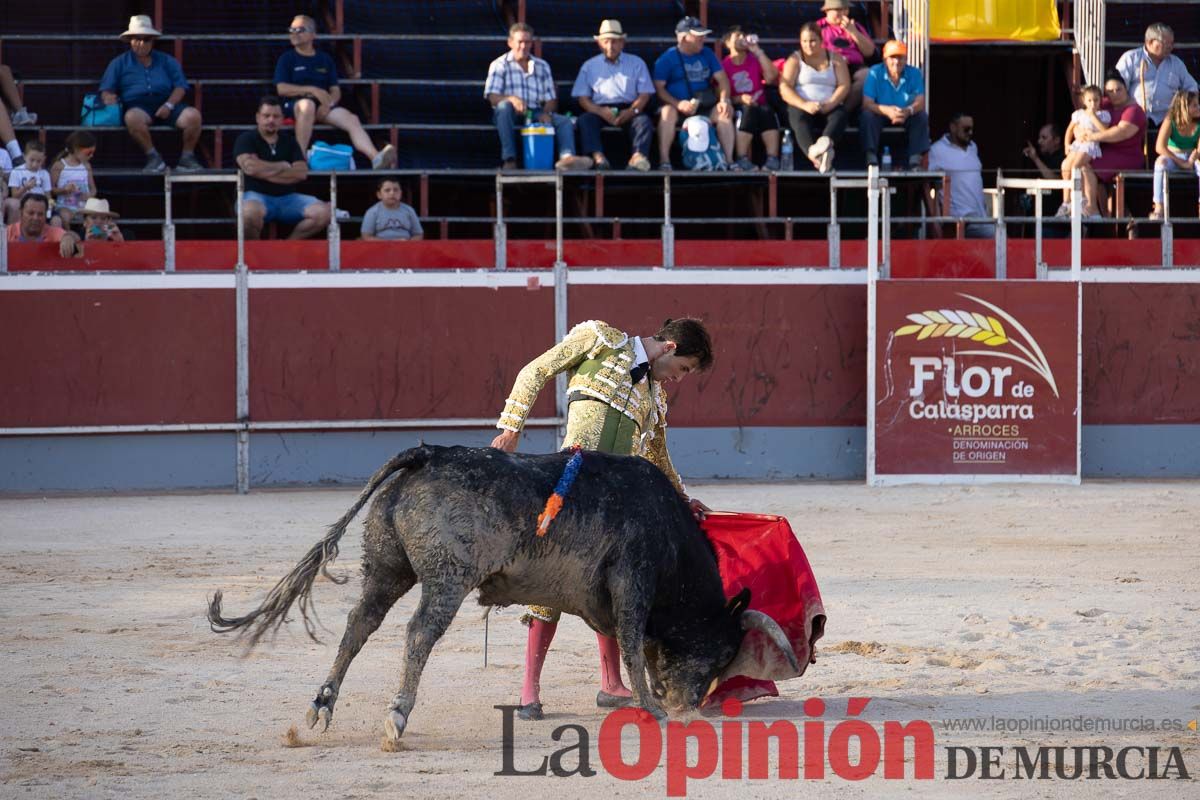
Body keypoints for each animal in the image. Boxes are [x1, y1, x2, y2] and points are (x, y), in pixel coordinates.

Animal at [208, 443, 806, 743]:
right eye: (721, 652)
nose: (689, 708)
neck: (670, 536)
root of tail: (425, 455)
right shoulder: (632, 580)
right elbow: (634, 642)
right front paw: (651, 708)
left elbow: (620, 641)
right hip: (447, 576)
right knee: (418, 632)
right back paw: (396, 717)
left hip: (385, 566)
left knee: (359, 625)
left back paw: (320, 706)